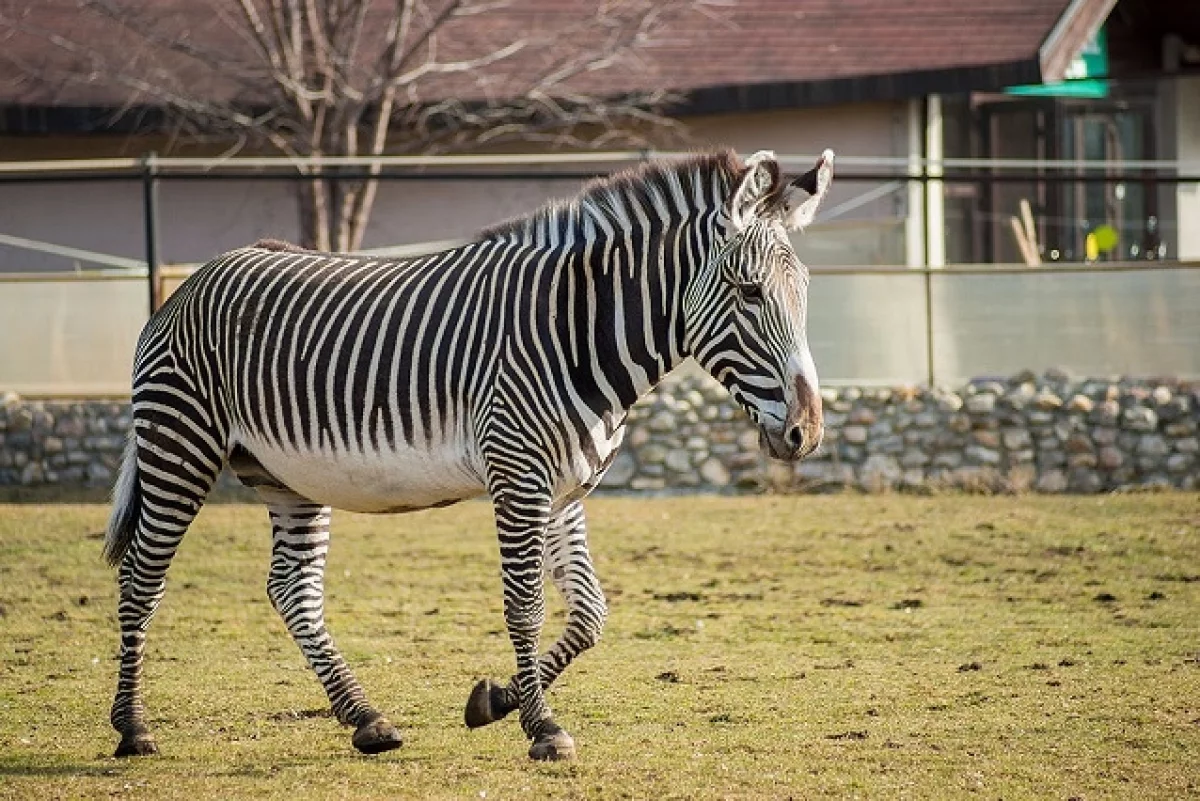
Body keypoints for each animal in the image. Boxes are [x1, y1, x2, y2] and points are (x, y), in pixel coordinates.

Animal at [103, 145, 835, 762]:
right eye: (749, 293)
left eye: (805, 292)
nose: (807, 432)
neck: (577, 331)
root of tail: (190, 282)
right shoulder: (519, 476)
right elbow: (526, 607)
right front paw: (542, 728)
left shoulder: (565, 490)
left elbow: (590, 614)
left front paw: (495, 700)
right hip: (180, 443)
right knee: (142, 576)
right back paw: (133, 727)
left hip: (286, 475)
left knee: (292, 588)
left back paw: (366, 718)